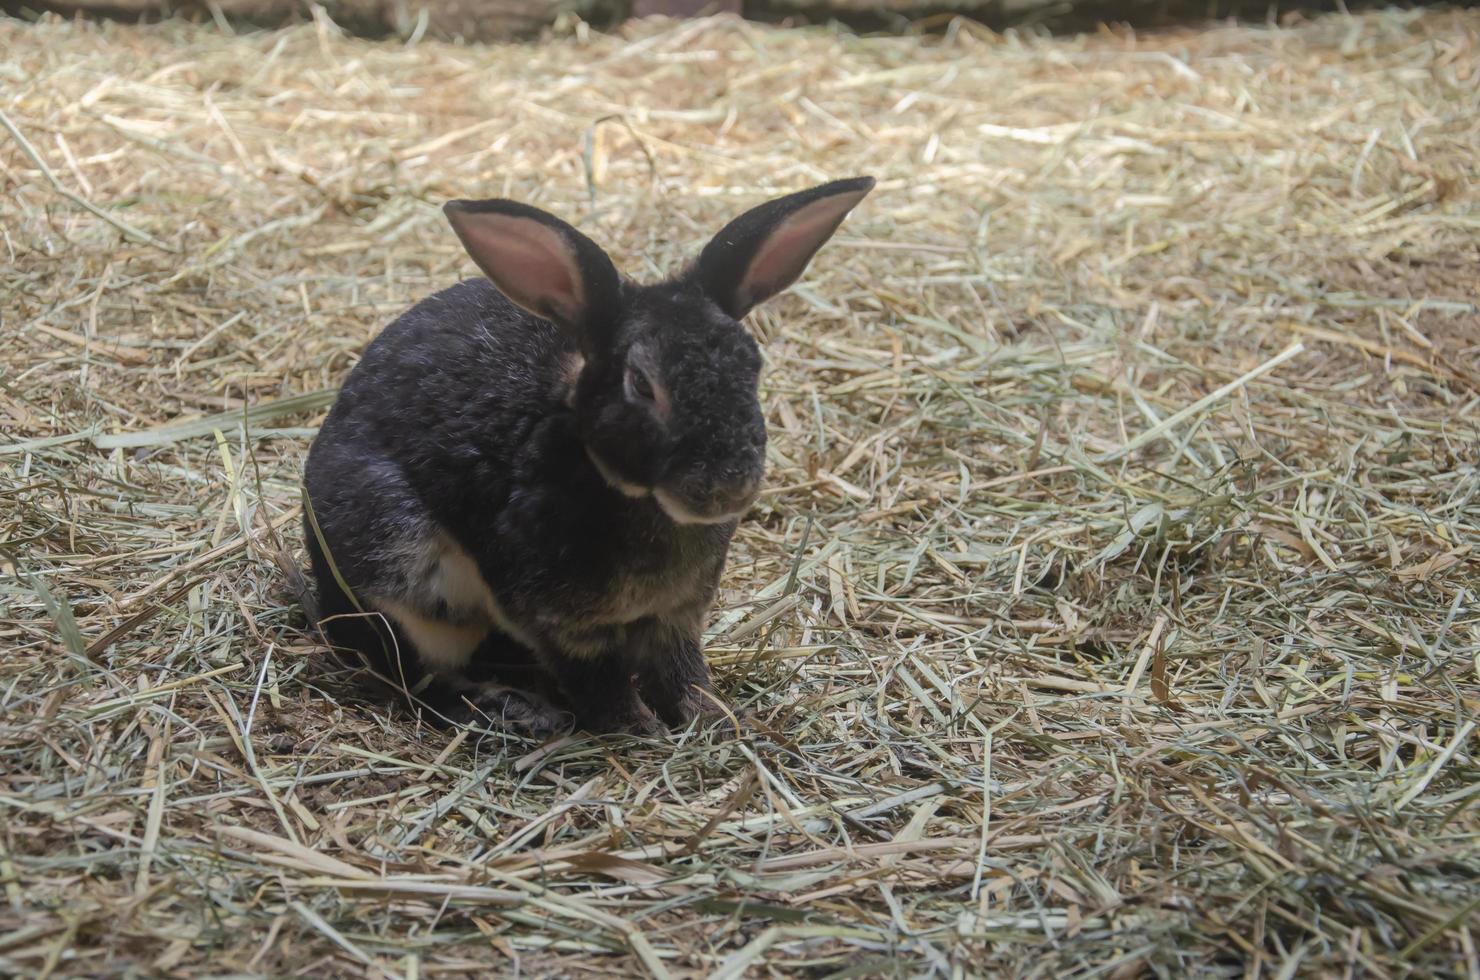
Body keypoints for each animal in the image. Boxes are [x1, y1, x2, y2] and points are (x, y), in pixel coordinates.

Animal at [304, 174, 870, 737]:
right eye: (641, 383)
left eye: (753, 365)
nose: (728, 486)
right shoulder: (563, 626)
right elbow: (601, 682)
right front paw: (642, 731)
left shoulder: (677, 615)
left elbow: (683, 671)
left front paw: (717, 717)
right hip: (401, 578)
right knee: (416, 679)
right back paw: (518, 710)